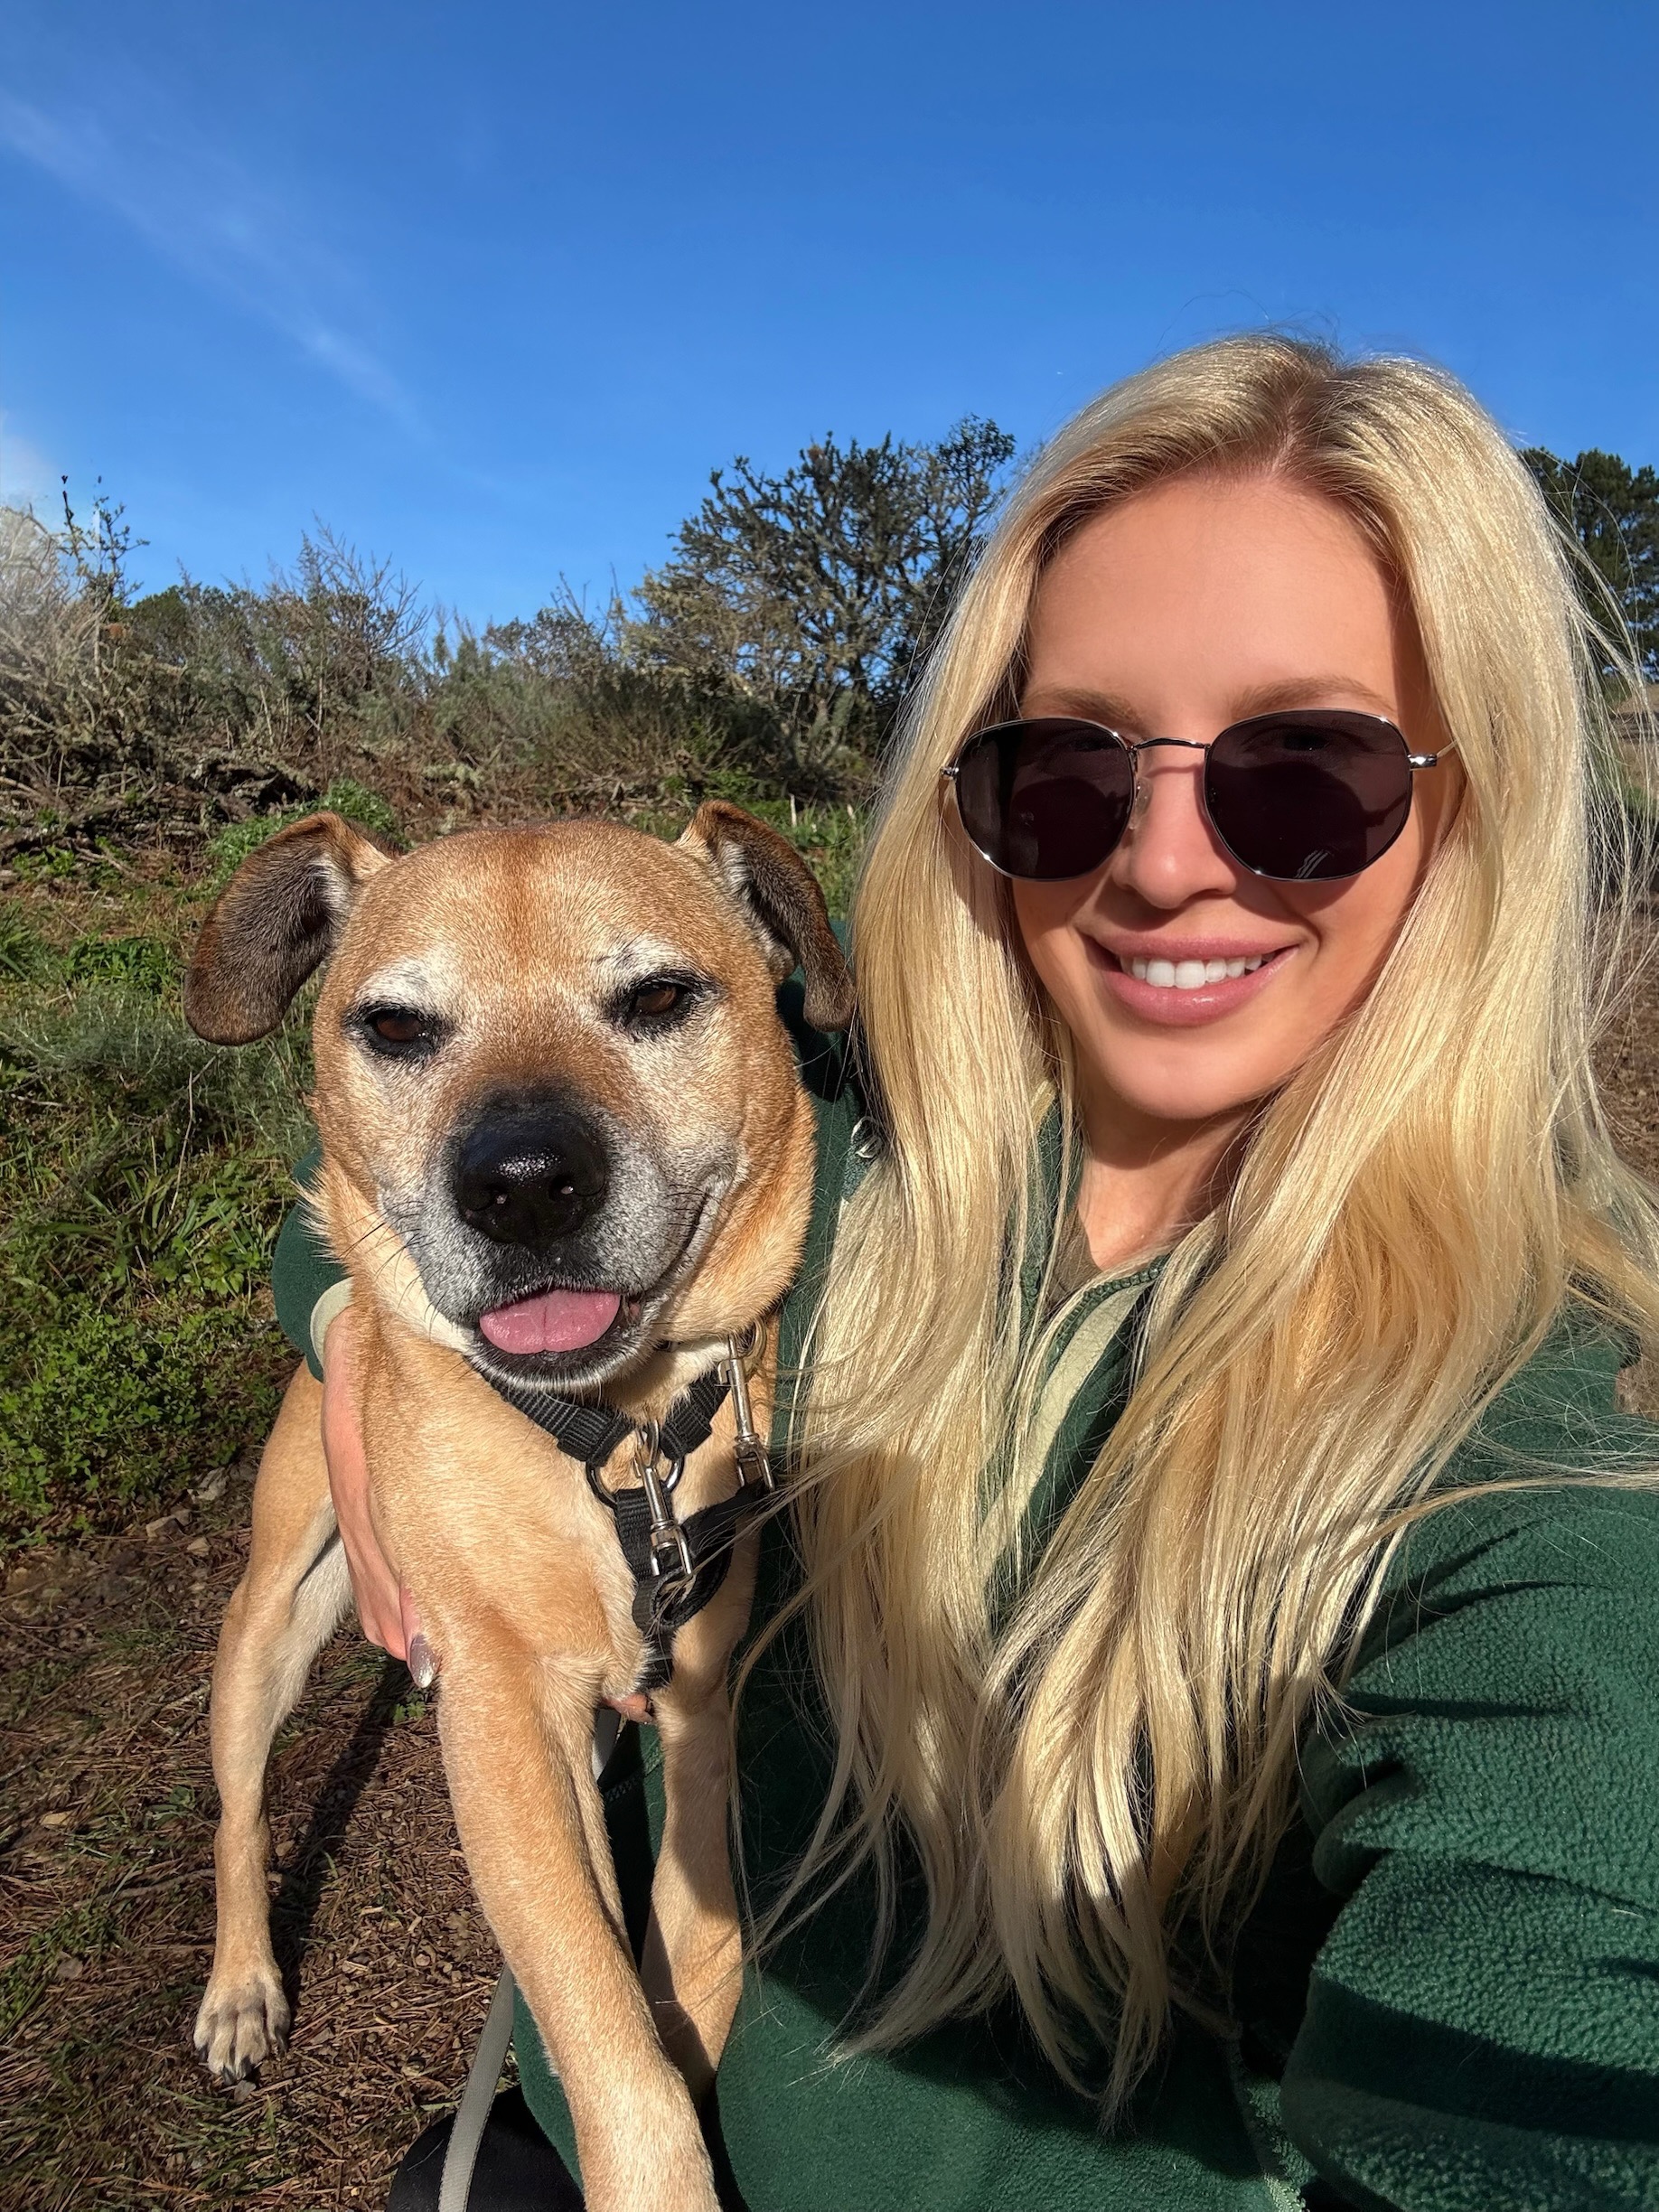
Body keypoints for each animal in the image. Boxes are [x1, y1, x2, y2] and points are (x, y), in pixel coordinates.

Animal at [182, 802, 852, 2212]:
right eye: (394, 1025)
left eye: (657, 998)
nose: (527, 1181)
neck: (611, 1437)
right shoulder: (502, 1717)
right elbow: (607, 2043)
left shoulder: (693, 1709)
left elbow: (683, 1982)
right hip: (272, 1616)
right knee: (241, 1806)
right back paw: (241, 1988)